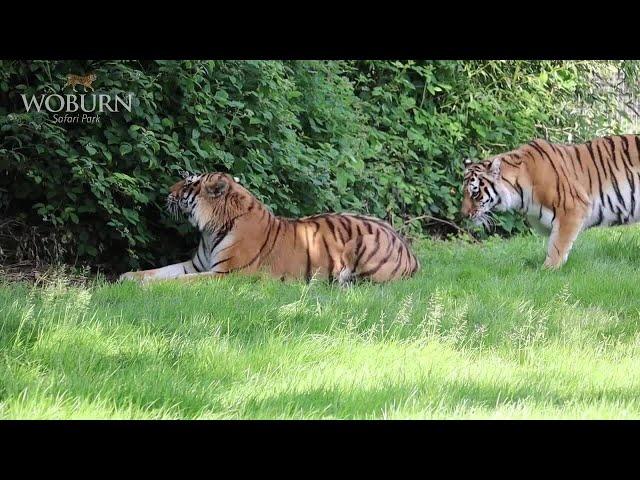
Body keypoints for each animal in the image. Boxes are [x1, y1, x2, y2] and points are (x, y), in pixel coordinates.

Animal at [119, 173, 420, 284]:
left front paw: (146, 287)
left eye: (189, 183)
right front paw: (127, 277)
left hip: (362, 244)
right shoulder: (194, 265)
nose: (167, 191)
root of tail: (411, 252)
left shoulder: (226, 275)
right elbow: (161, 270)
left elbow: (177, 282)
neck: (209, 231)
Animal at [460, 134, 640, 270]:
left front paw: (548, 270)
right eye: (463, 192)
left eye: (475, 193)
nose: (463, 215)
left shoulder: (573, 208)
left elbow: (558, 246)